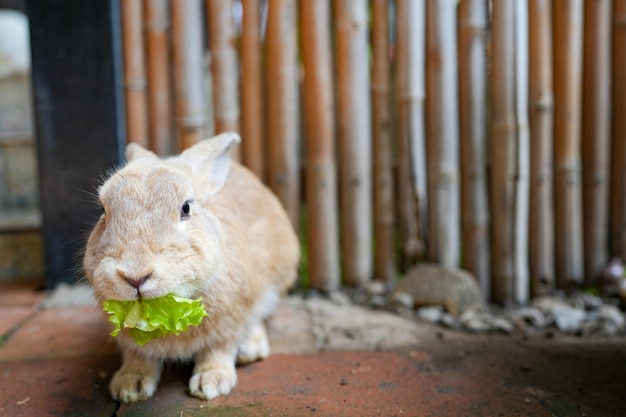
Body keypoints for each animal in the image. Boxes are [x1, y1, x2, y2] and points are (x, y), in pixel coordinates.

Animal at [82, 132, 300, 402]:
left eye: (186, 208)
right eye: (104, 212)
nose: (135, 277)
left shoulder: (230, 322)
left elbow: (219, 349)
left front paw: (211, 382)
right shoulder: (133, 340)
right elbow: (139, 355)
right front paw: (129, 386)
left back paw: (250, 349)